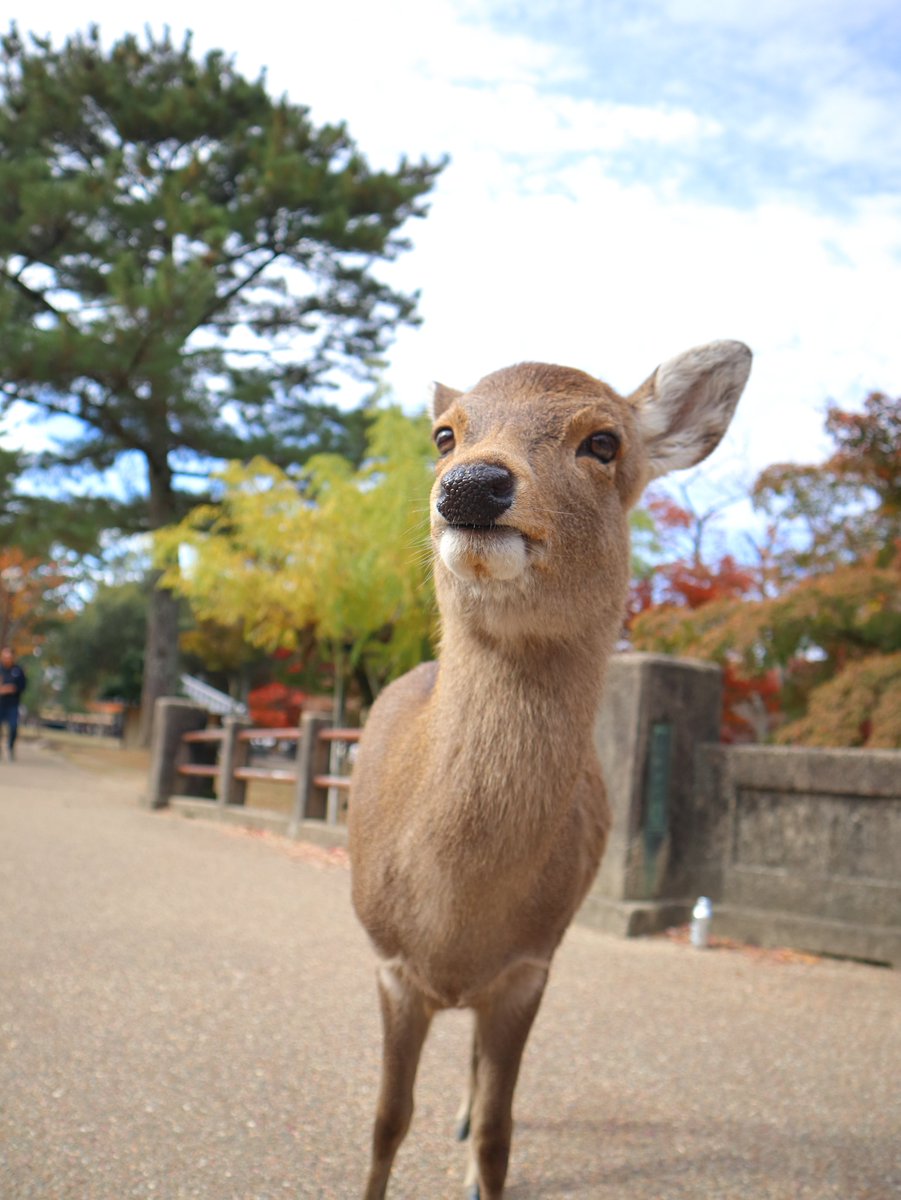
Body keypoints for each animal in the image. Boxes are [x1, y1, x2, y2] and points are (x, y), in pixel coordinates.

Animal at [347, 340, 752, 1200]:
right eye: (444, 433)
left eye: (603, 441)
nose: (471, 485)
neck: (453, 921)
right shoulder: (390, 962)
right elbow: (385, 1121)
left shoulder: (530, 966)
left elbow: (501, 1135)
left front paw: (478, 1164)